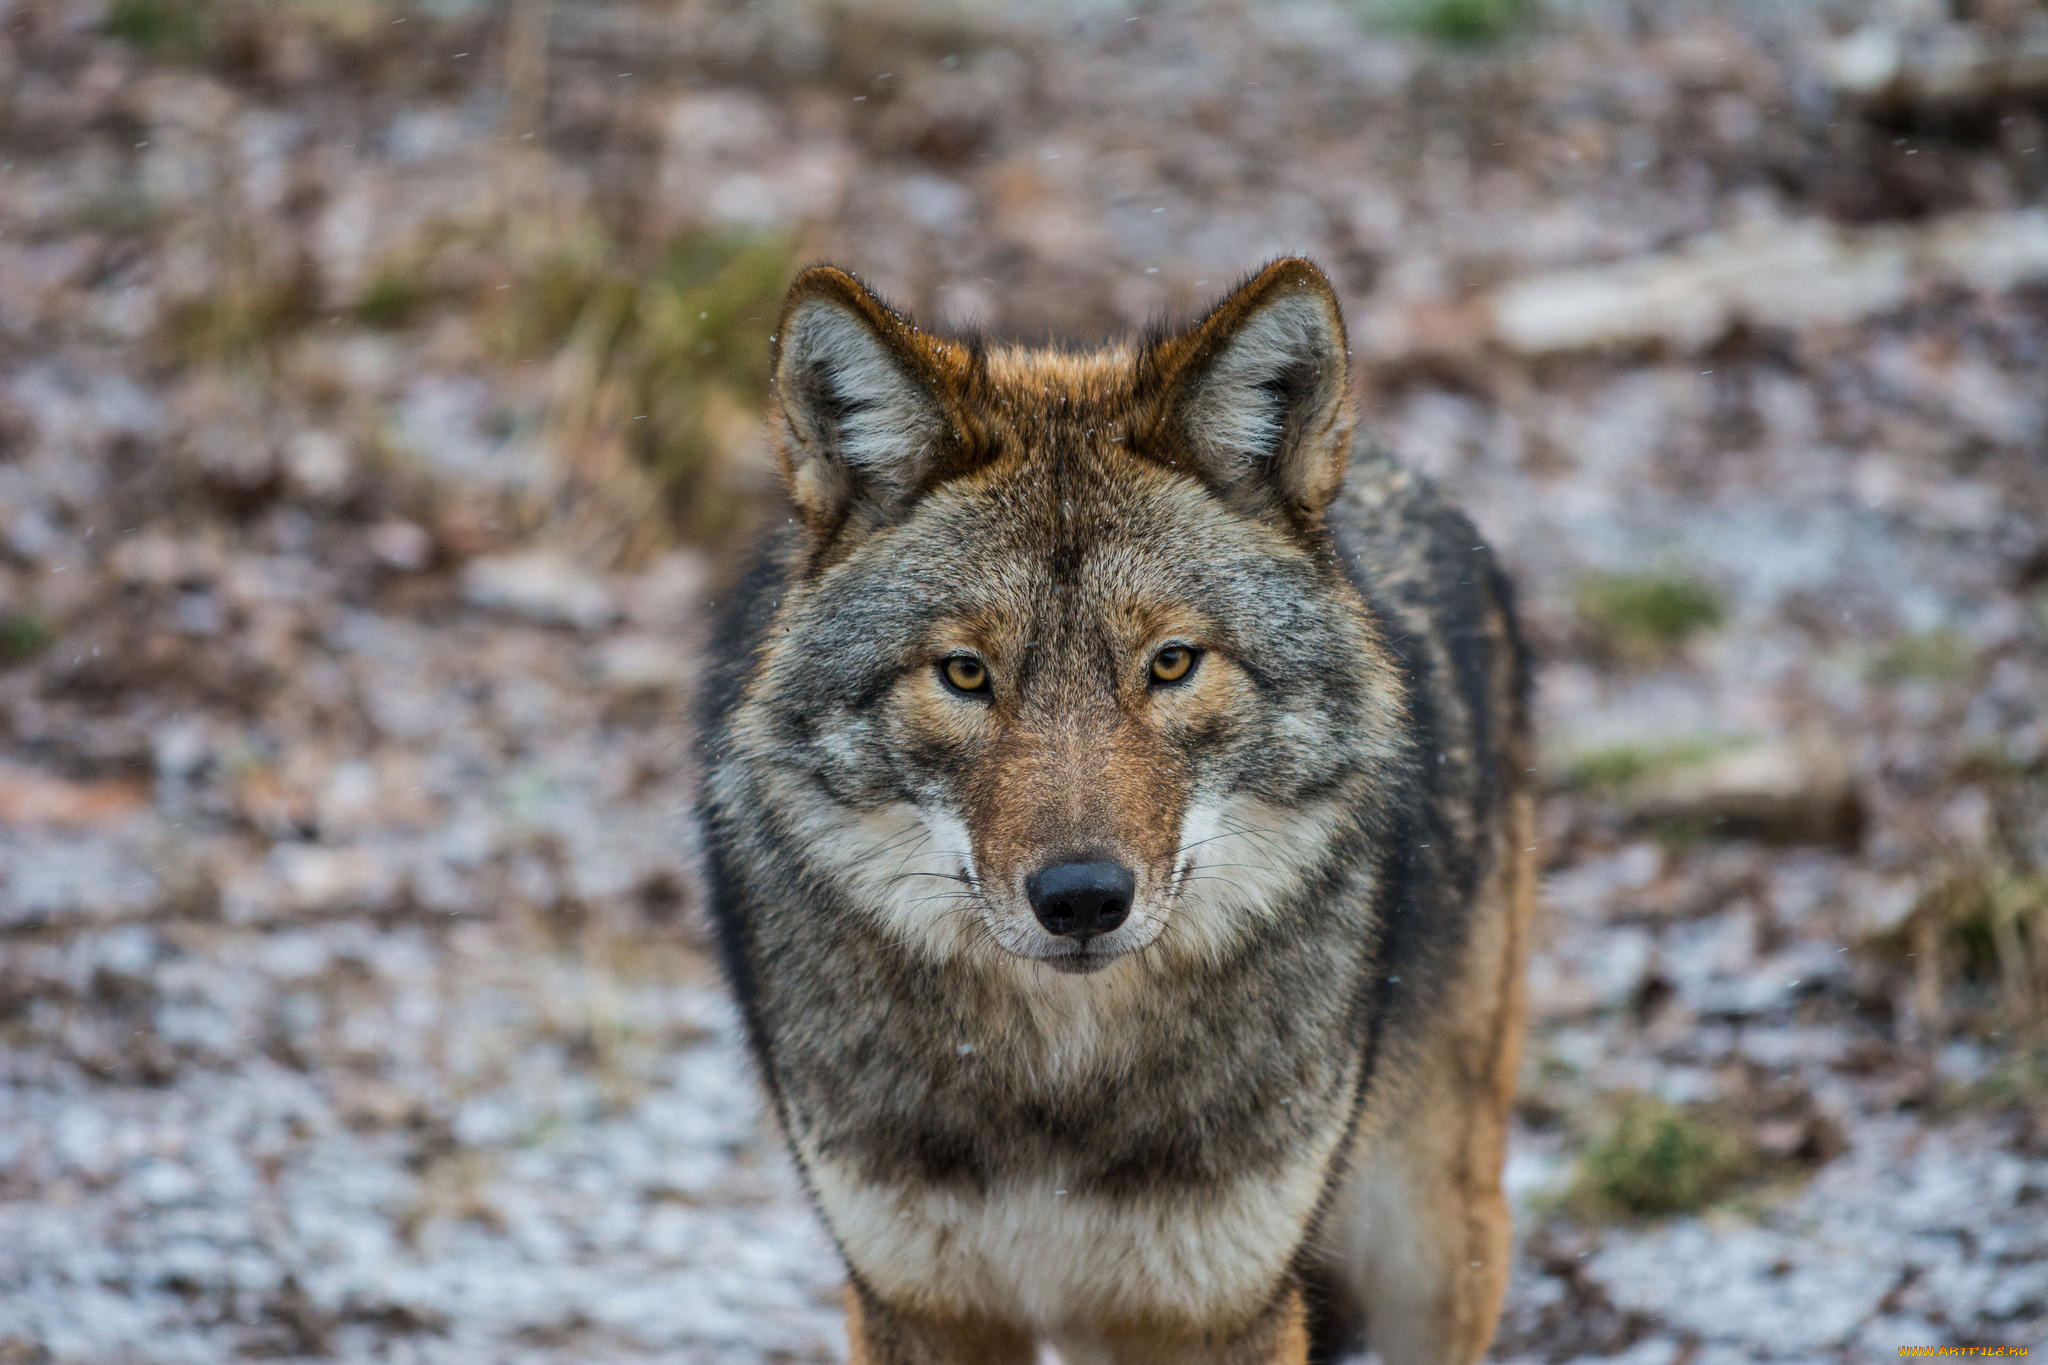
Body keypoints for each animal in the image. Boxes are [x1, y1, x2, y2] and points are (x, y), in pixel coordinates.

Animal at [696, 258, 1533, 1365]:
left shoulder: (1217, 1311)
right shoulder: (918, 1304)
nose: (1083, 899)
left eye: (1170, 663)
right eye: (965, 673)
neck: (1062, 1082)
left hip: (1431, 1244)